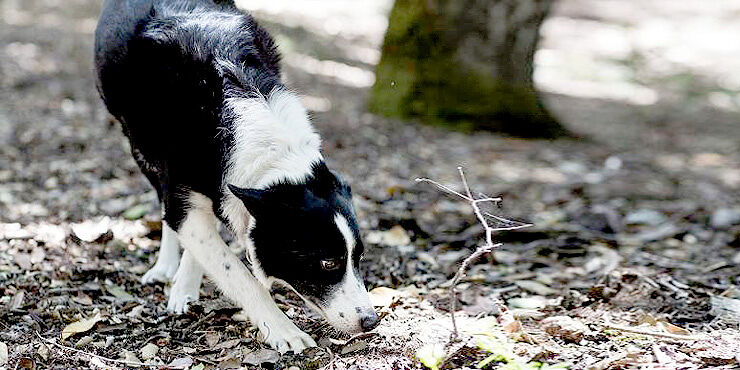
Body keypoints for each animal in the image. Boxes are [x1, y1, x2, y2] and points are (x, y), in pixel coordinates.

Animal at [94, 0, 376, 352]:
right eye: (328, 263)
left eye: (359, 257)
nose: (371, 321)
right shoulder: (184, 192)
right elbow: (237, 273)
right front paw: (285, 331)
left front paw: (186, 283)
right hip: (139, 146)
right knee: (164, 204)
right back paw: (166, 266)